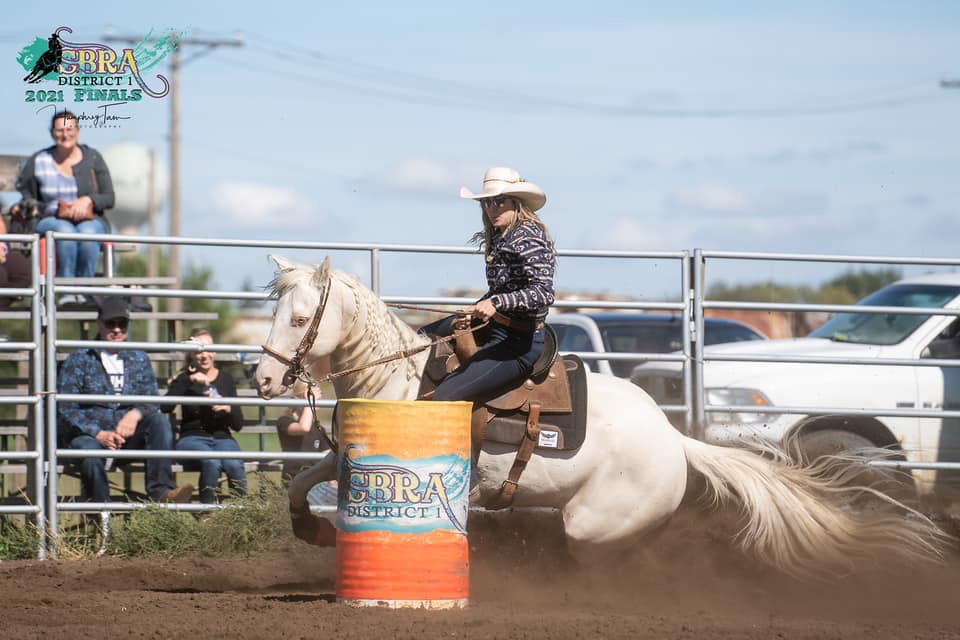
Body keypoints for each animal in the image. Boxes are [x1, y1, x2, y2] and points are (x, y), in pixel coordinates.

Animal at [255, 255, 949, 576]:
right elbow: (299, 482)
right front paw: (312, 531)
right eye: (274, 312)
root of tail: (673, 439)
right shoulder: (345, 456)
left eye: (300, 317)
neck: (398, 378)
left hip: (593, 522)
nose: (262, 379)